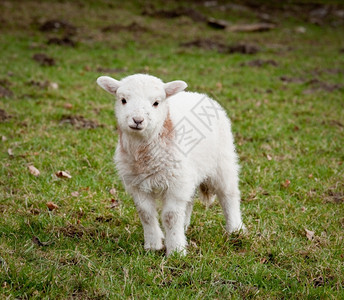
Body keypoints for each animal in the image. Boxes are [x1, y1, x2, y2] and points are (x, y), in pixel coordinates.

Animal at [97, 73, 245, 255]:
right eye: (123, 100)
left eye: (156, 103)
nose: (138, 120)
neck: (144, 156)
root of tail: (199, 95)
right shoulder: (137, 184)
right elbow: (146, 214)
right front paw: (153, 245)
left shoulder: (175, 183)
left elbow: (170, 216)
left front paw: (176, 250)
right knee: (189, 201)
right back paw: (185, 227)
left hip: (223, 161)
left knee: (229, 195)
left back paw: (236, 229)